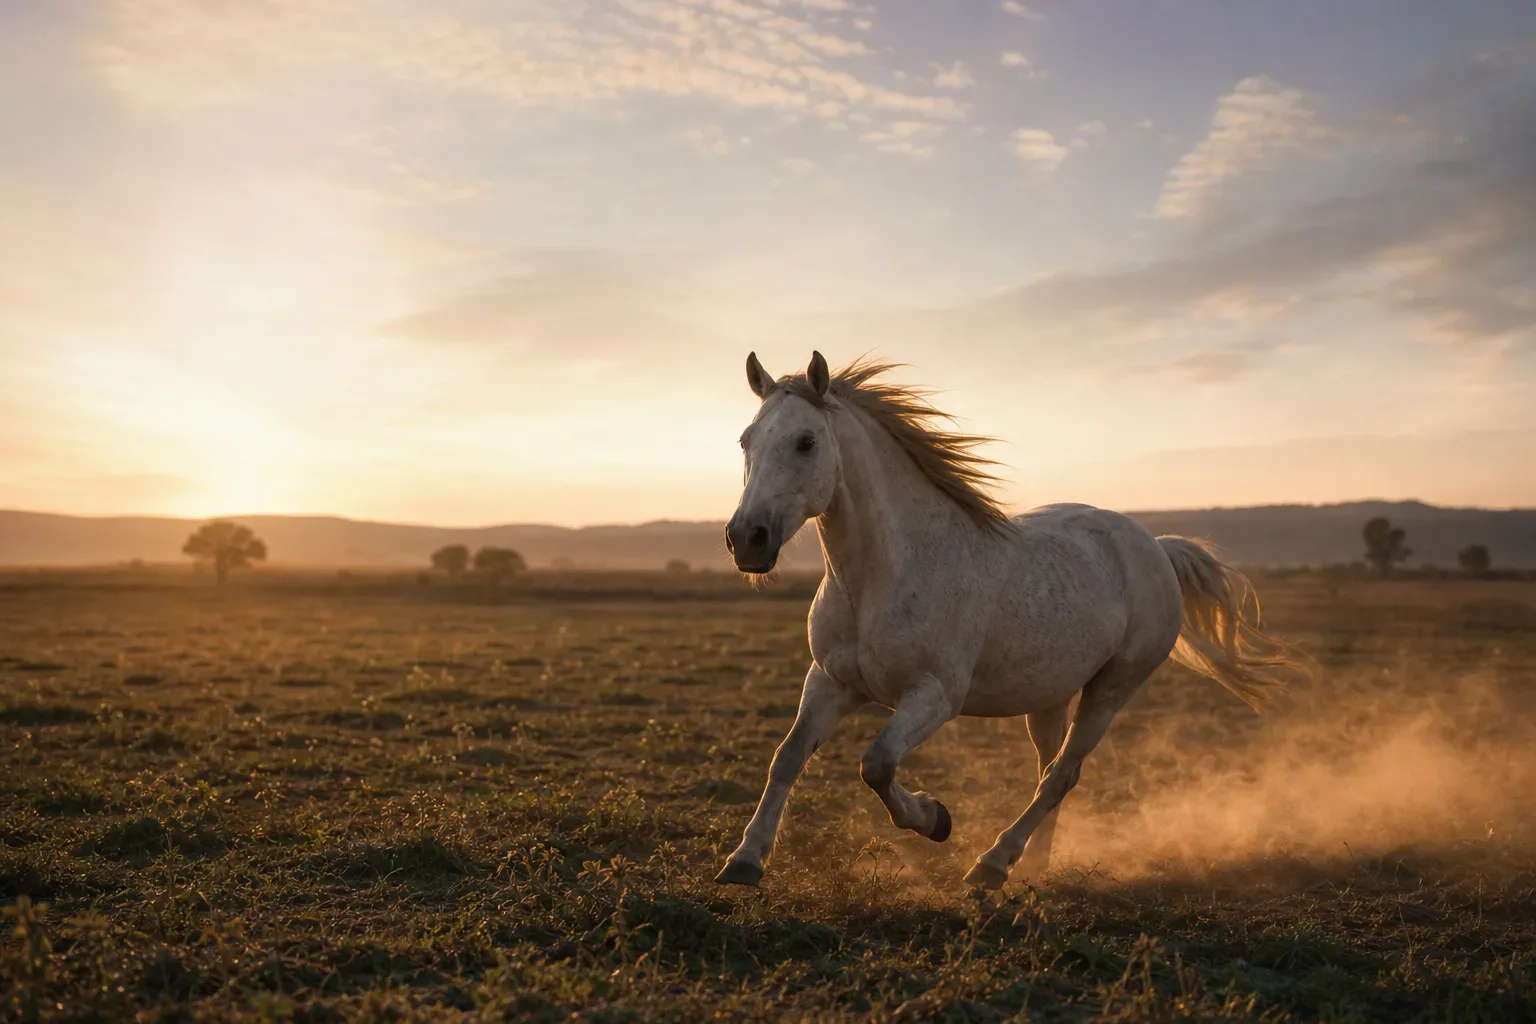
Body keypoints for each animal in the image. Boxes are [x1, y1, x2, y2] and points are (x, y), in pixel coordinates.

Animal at [714, 351, 1304, 890]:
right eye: (746, 440)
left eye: (806, 442)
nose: (747, 540)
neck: (883, 575)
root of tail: (1156, 547)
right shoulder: (831, 681)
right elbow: (787, 758)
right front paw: (744, 861)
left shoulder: (935, 696)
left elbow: (877, 762)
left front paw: (935, 819)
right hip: (1048, 698)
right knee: (1052, 772)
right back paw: (1033, 868)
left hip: (1112, 688)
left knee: (1061, 775)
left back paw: (993, 865)